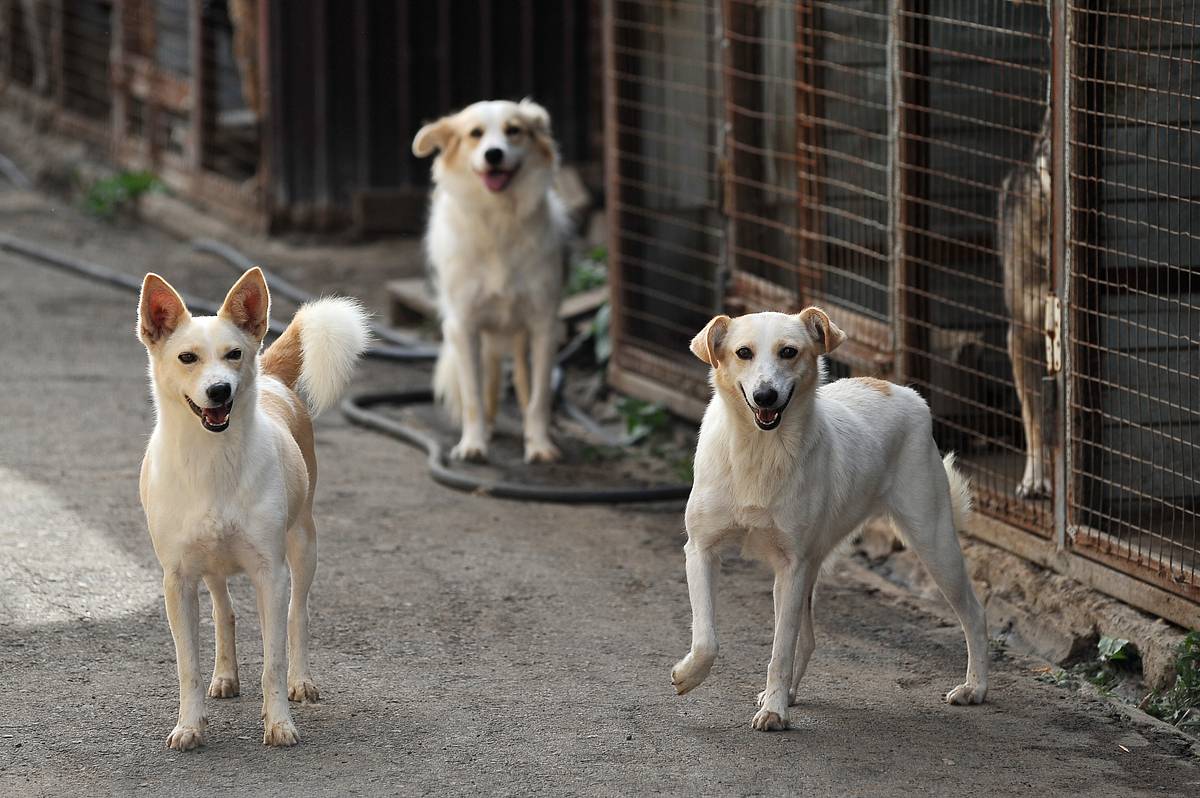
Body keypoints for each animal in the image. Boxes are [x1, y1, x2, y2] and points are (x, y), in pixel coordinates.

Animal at [412, 97, 566, 463]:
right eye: (475, 134)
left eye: (514, 130)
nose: (494, 154)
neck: (499, 221)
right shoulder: (465, 326)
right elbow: (473, 396)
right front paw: (473, 443)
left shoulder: (544, 326)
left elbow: (539, 397)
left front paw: (539, 444)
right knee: (490, 378)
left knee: (522, 382)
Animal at [672, 307, 988, 729]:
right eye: (743, 352)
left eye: (789, 352)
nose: (765, 396)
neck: (759, 449)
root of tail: (900, 389)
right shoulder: (701, 550)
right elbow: (707, 638)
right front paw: (689, 676)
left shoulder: (791, 566)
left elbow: (780, 650)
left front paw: (775, 711)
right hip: (815, 566)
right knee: (806, 638)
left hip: (934, 545)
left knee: (974, 613)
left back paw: (975, 687)